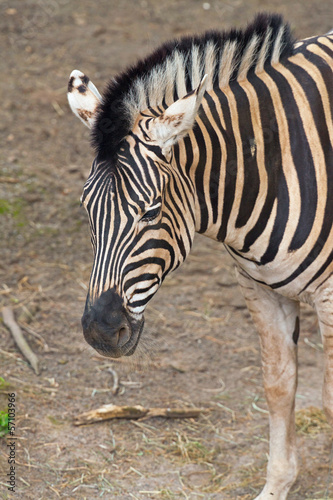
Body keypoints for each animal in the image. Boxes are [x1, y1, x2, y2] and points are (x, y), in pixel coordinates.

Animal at [67, 14, 332, 500]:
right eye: (86, 209)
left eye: (151, 211)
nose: (99, 332)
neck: (271, 163)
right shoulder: (259, 286)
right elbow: (278, 385)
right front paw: (276, 486)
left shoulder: (330, 293)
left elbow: (328, 398)